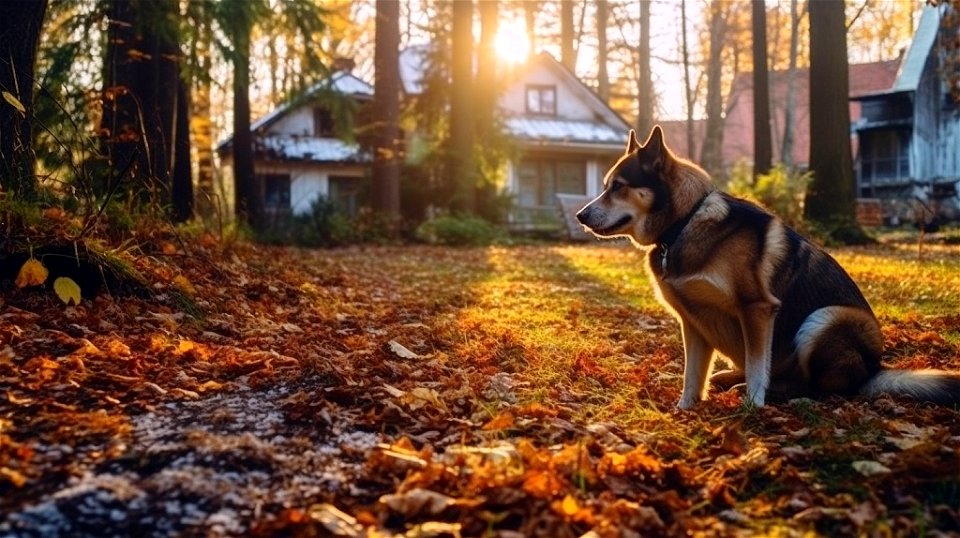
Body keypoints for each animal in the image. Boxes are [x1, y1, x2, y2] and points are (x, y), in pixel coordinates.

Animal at [572, 125, 956, 408]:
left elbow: (758, 366)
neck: (683, 223)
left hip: (823, 319)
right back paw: (730, 380)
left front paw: (753, 406)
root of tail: (874, 369)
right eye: (606, 186)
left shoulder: (756, 308)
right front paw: (685, 409)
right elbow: (692, 375)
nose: (580, 215)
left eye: (618, 187)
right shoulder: (692, 321)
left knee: (820, 387)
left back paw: (773, 392)